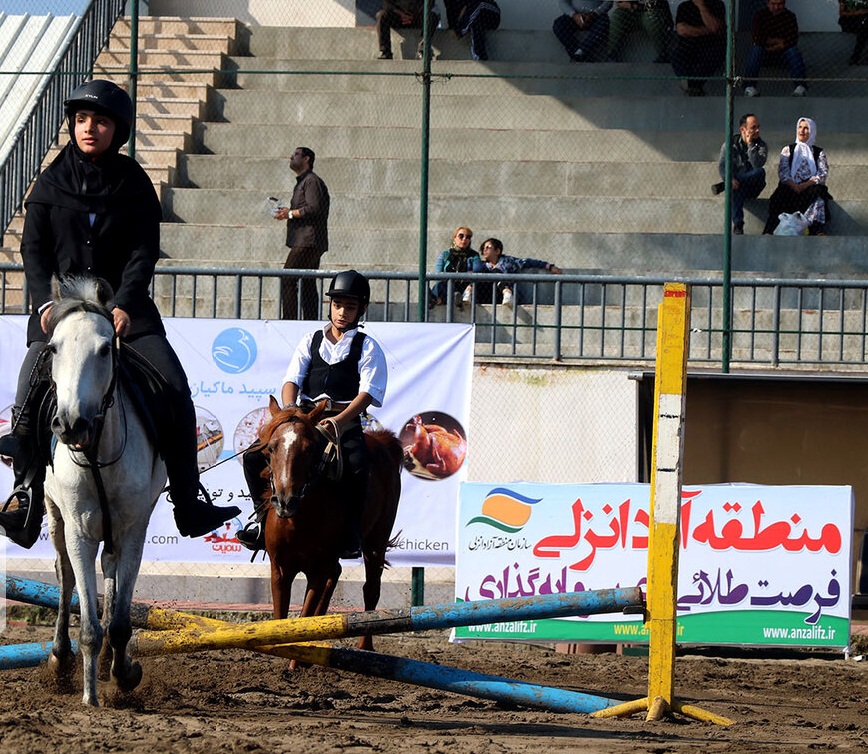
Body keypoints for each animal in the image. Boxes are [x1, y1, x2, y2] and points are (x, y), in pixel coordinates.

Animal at [45, 276, 166, 704]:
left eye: (103, 349)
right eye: (53, 348)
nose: (70, 423)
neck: (97, 453)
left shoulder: (132, 531)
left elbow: (118, 621)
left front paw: (124, 673)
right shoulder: (79, 532)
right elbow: (90, 627)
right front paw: (90, 698)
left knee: (110, 576)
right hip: (54, 515)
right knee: (64, 574)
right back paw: (59, 657)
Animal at [256, 394, 402, 652]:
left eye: (309, 449)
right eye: (271, 448)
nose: (285, 501)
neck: (298, 520)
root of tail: (384, 441)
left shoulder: (318, 570)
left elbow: (303, 618)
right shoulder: (280, 569)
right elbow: (280, 618)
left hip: (376, 541)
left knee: (371, 588)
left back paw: (365, 645)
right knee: (337, 573)